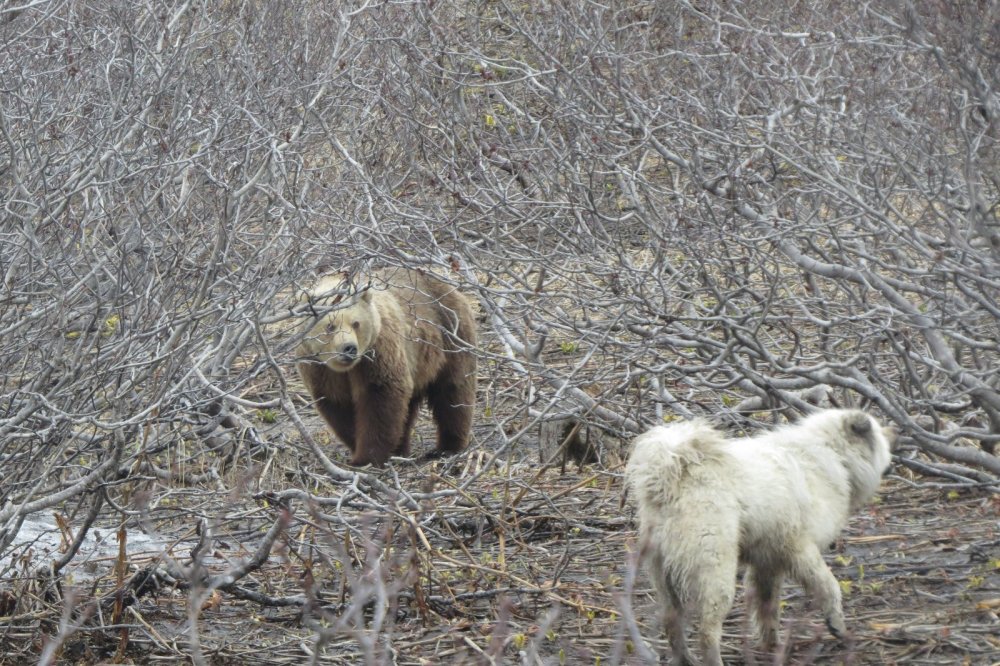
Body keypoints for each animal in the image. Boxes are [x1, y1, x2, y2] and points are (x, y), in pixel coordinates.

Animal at [294, 268, 478, 464]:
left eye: (356, 323)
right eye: (330, 326)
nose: (349, 348)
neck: (347, 369)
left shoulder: (378, 352)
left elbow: (381, 397)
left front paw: (366, 457)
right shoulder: (319, 368)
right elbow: (339, 407)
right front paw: (357, 446)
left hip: (450, 331)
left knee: (453, 392)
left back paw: (447, 448)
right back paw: (402, 448)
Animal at [624, 408, 900, 660]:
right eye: (879, 436)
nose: (894, 433)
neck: (835, 455)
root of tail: (670, 478)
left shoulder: (768, 562)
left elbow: (768, 608)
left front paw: (772, 645)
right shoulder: (800, 548)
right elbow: (829, 587)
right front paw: (837, 626)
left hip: (664, 575)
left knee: (672, 623)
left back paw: (686, 659)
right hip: (715, 569)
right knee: (707, 631)